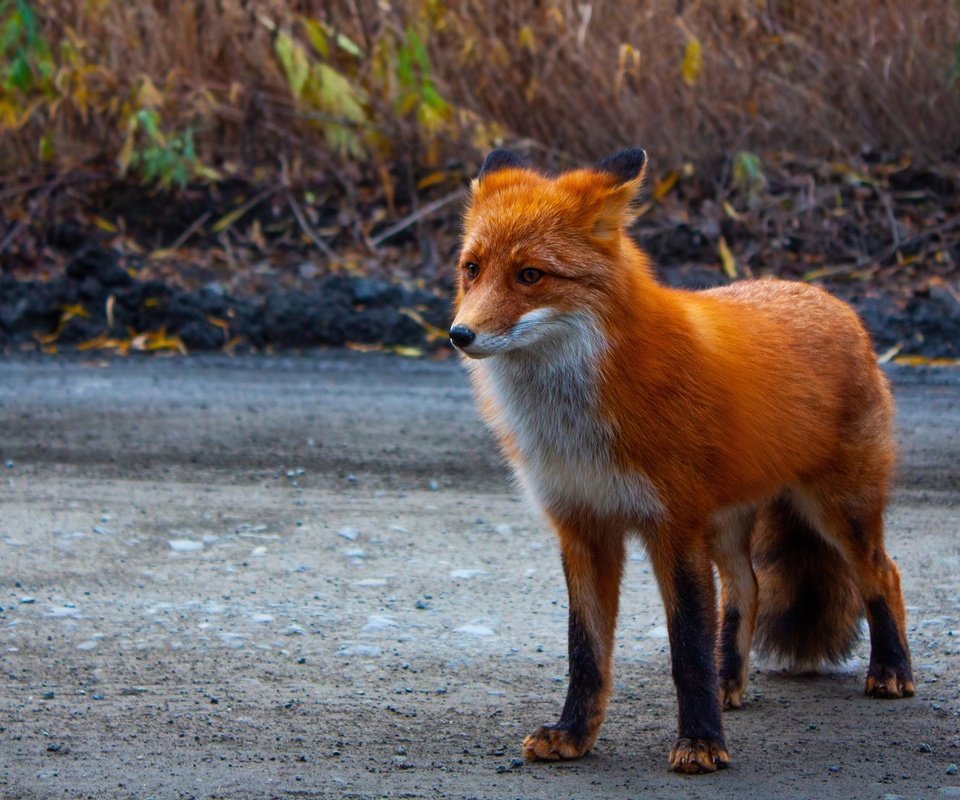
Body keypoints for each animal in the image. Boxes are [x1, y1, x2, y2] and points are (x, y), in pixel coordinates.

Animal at [450, 147, 916, 772]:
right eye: (472, 269)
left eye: (530, 276)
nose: (460, 333)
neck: (576, 421)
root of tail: (833, 301)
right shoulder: (582, 524)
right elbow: (585, 651)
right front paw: (573, 734)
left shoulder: (673, 525)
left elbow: (688, 648)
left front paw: (700, 743)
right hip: (728, 523)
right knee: (747, 589)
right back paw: (730, 682)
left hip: (838, 508)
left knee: (882, 574)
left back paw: (890, 670)